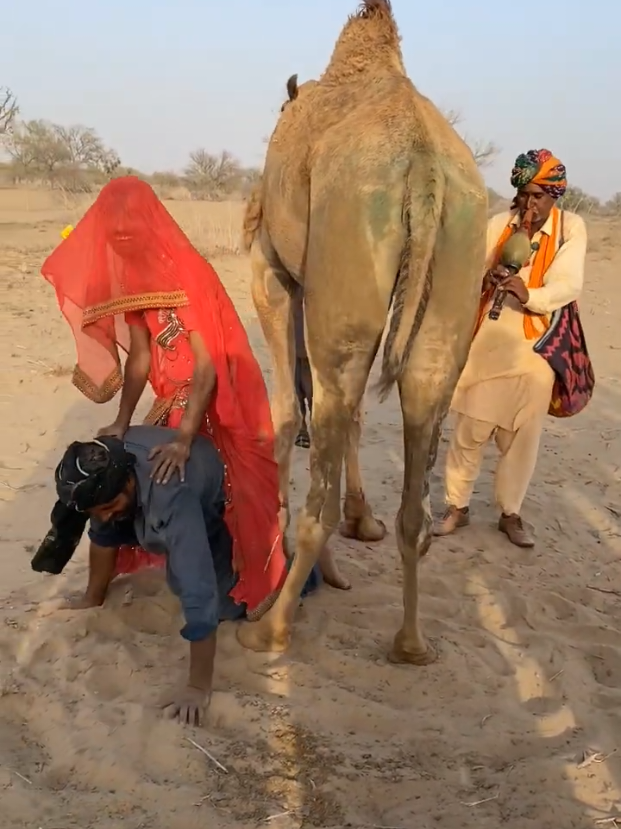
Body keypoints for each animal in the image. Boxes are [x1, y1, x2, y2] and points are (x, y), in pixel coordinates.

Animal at [239, 0, 487, 665]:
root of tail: (424, 165)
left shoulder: (272, 268)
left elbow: (284, 413)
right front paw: (362, 522)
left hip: (348, 255)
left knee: (326, 411)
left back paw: (270, 627)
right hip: (455, 268)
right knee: (413, 431)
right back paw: (411, 642)